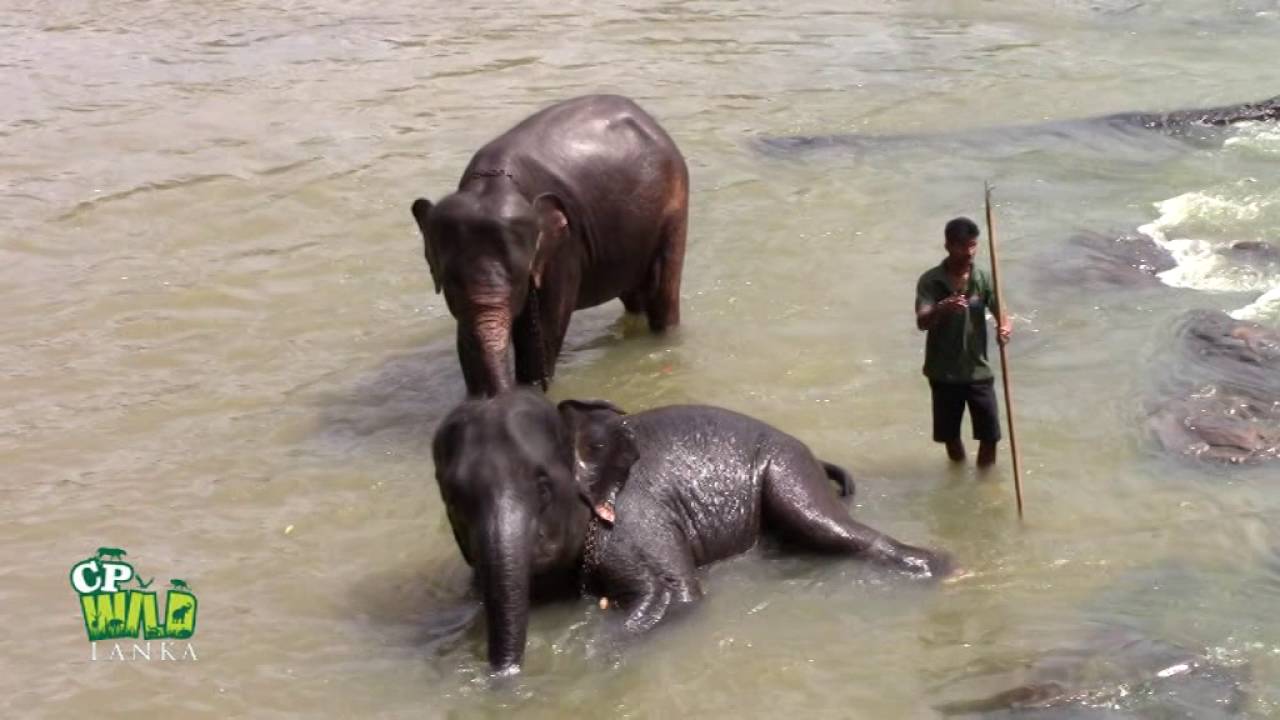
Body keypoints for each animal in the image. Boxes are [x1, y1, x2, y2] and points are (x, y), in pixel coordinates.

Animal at [411, 94, 689, 397]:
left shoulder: (562, 248)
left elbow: (543, 329)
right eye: (449, 282)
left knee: (662, 291)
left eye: (520, 278)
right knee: (633, 294)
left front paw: (531, 387)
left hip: (674, 212)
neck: (492, 184)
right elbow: (466, 336)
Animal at [430, 388, 952, 674]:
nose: (506, 674)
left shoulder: (636, 523)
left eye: (542, 485)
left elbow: (674, 595)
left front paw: (592, 652)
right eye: (454, 498)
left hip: (787, 467)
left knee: (829, 527)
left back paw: (940, 568)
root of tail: (812, 451)